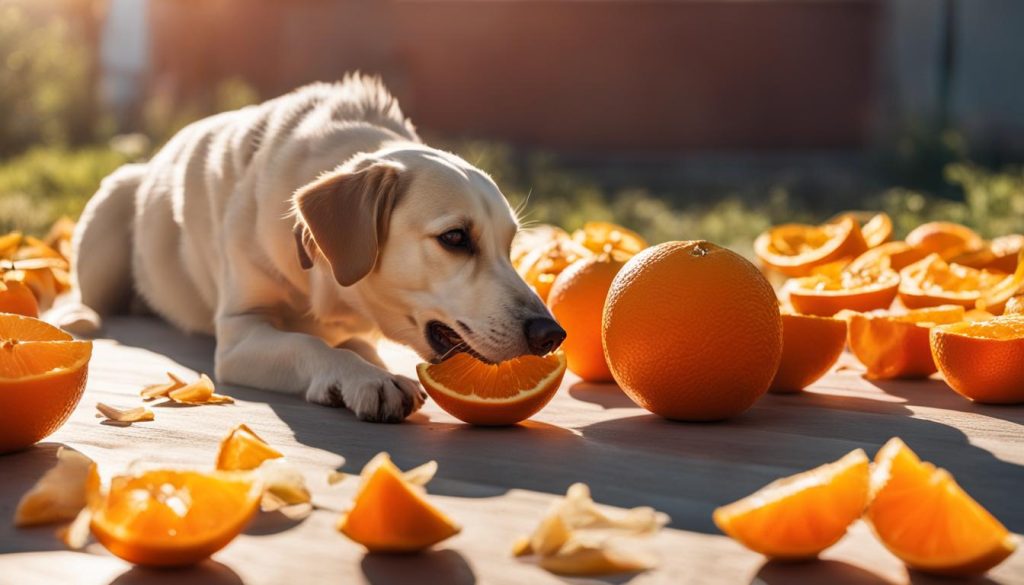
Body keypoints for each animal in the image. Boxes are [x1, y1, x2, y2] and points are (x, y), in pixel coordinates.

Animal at [54, 74, 569, 422]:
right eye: (455, 238)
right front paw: (366, 378)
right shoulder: (240, 333)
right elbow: (308, 344)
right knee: (87, 291)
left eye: (510, 245)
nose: (550, 334)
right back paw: (80, 315)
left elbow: (355, 342)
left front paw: (371, 365)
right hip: (112, 202)